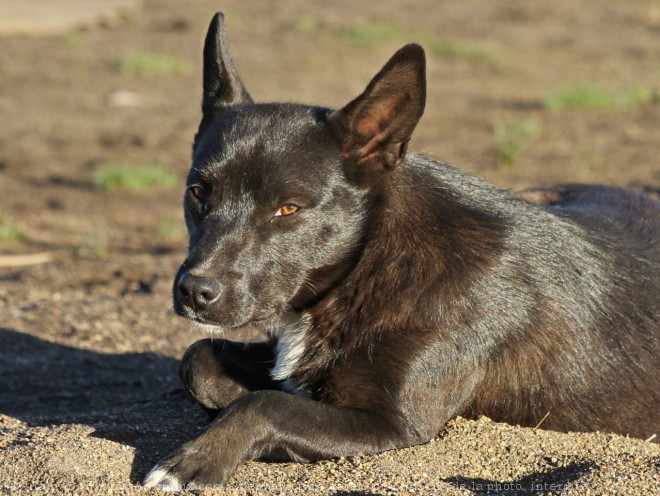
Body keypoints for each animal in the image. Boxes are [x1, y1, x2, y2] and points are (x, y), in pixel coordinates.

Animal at [143, 13, 656, 490]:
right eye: (197, 192)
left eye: (288, 208)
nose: (194, 291)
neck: (369, 263)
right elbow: (200, 360)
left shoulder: (393, 424)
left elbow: (266, 403)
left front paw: (196, 458)